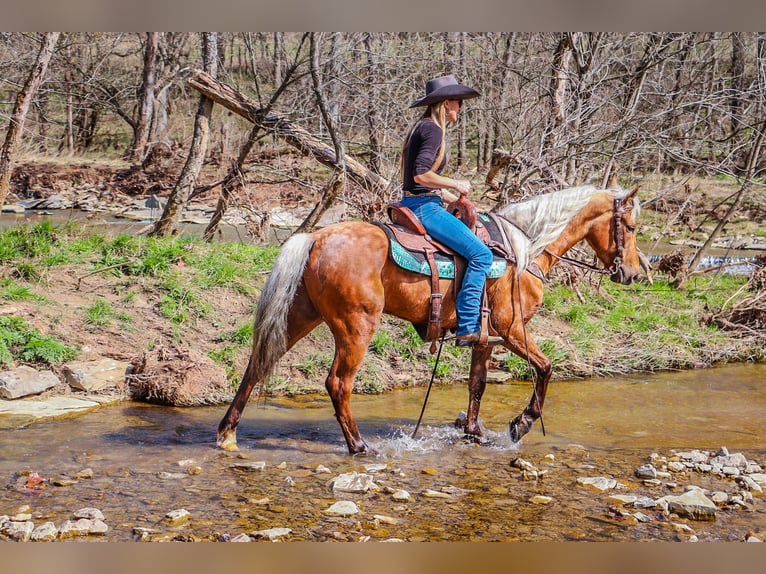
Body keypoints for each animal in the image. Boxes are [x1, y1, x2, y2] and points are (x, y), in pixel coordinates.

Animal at [219, 183, 644, 454]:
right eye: (631, 227)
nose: (633, 273)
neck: (524, 251)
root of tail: (316, 238)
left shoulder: (484, 337)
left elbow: (478, 384)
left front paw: (474, 433)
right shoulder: (511, 329)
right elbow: (545, 368)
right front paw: (520, 424)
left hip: (301, 316)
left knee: (256, 365)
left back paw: (227, 433)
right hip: (357, 327)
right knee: (338, 383)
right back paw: (359, 446)